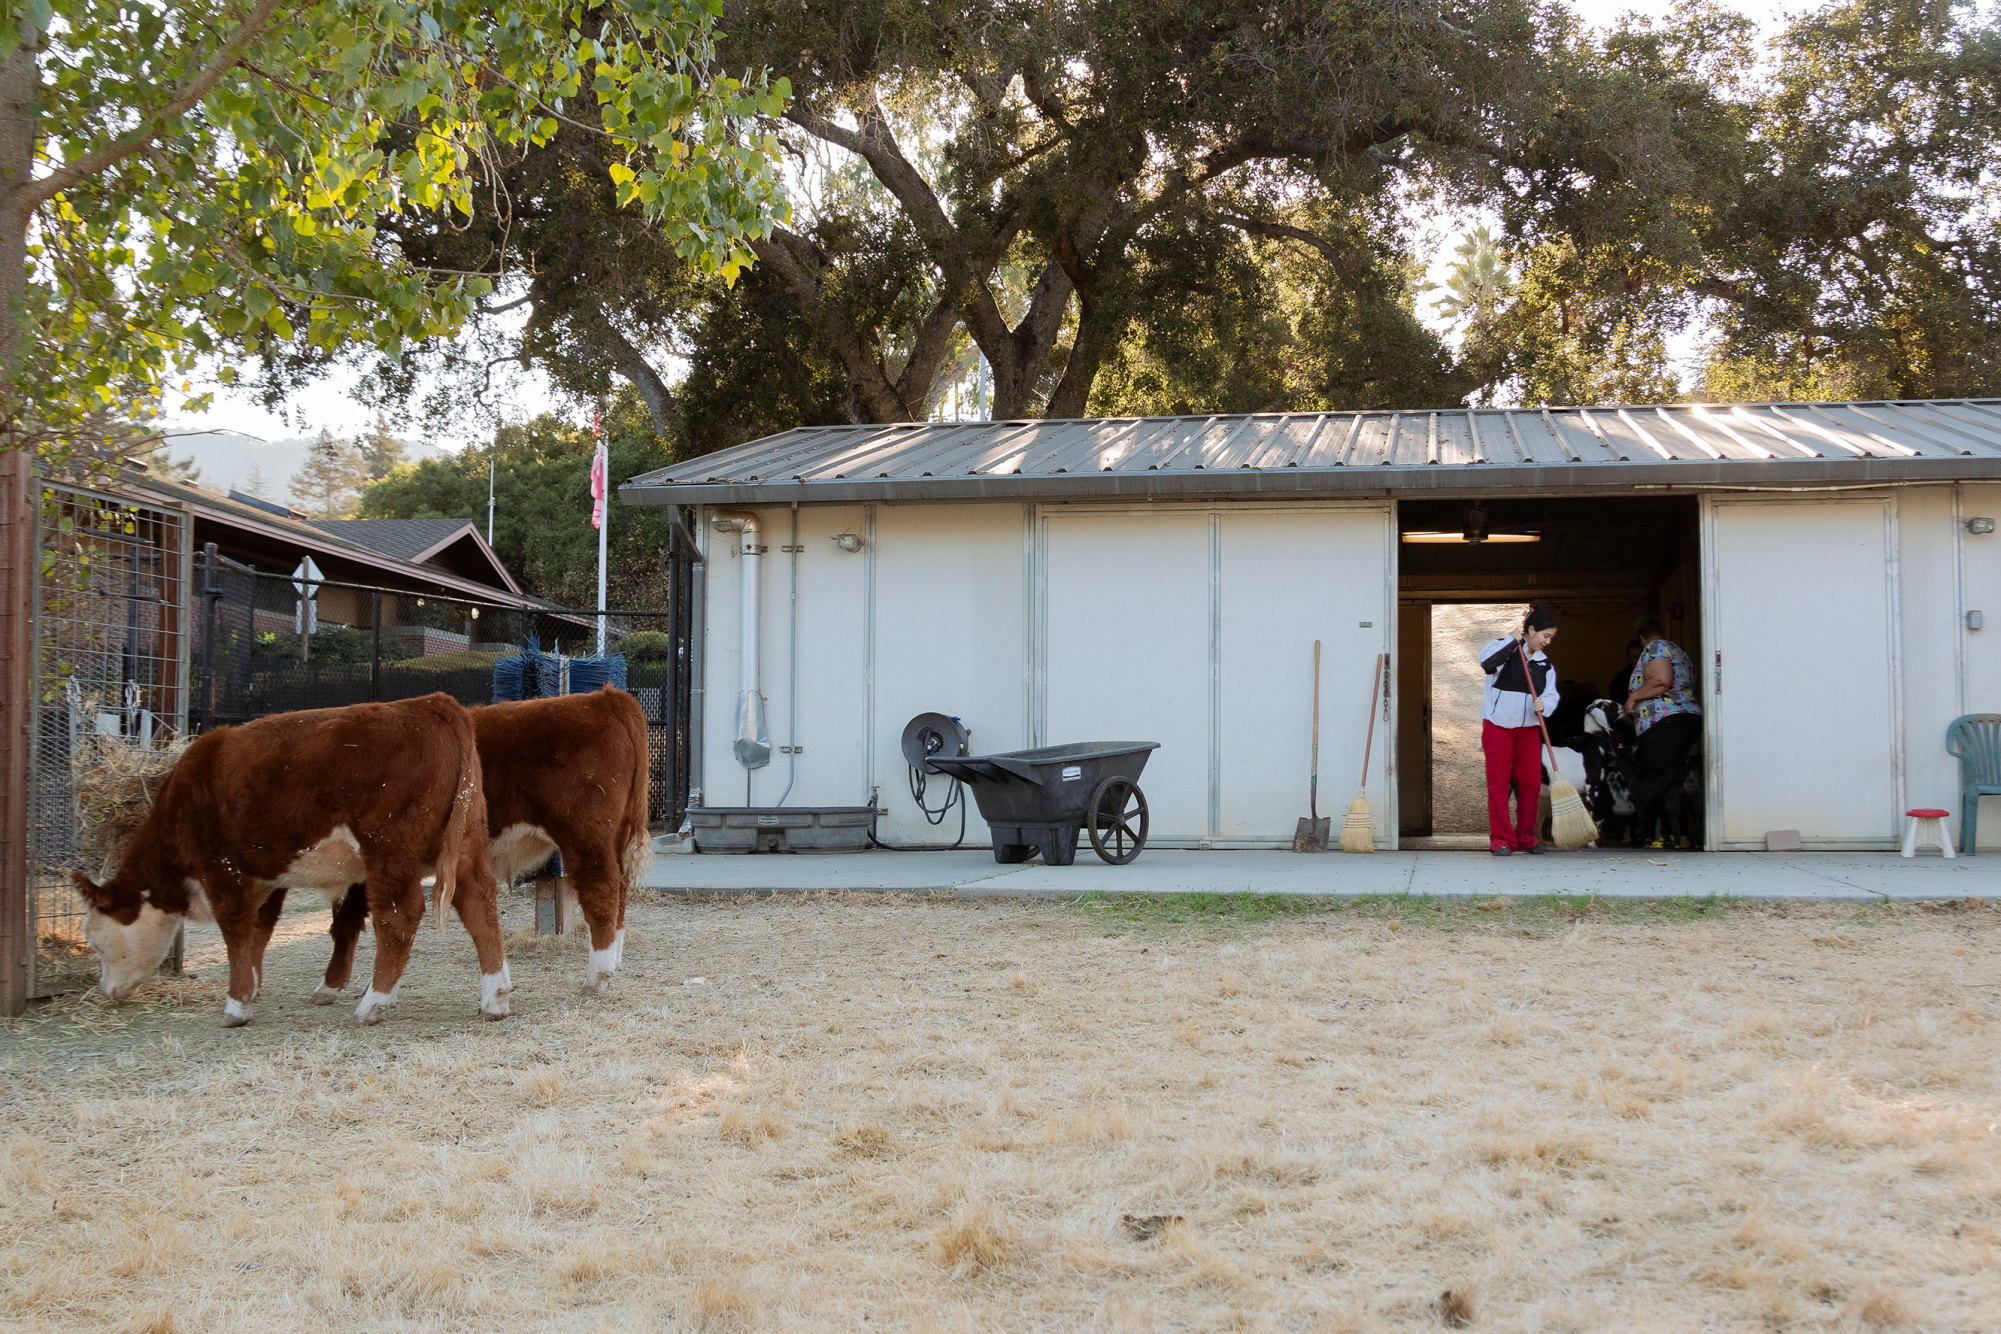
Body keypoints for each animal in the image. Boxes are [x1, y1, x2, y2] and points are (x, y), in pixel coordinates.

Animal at [70, 696, 508, 1032]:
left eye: (94, 941)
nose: (107, 991)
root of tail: (433, 704)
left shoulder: (220, 865)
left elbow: (235, 928)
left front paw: (236, 1004)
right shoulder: (264, 877)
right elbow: (258, 931)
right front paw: (253, 986)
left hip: (390, 849)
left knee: (400, 916)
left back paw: (373, 1003)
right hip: (464, 842)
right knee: (478, 902)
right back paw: (495, 997)